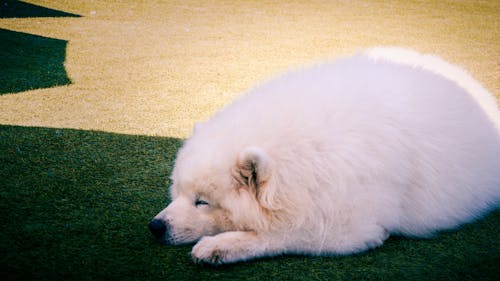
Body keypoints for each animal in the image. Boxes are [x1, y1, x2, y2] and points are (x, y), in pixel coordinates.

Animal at [148, 47, 500, 264]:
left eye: (202, 202)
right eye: (178, 192)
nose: (156, 226)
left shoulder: (350, 222)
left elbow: (284, 233)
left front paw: (221, 245)